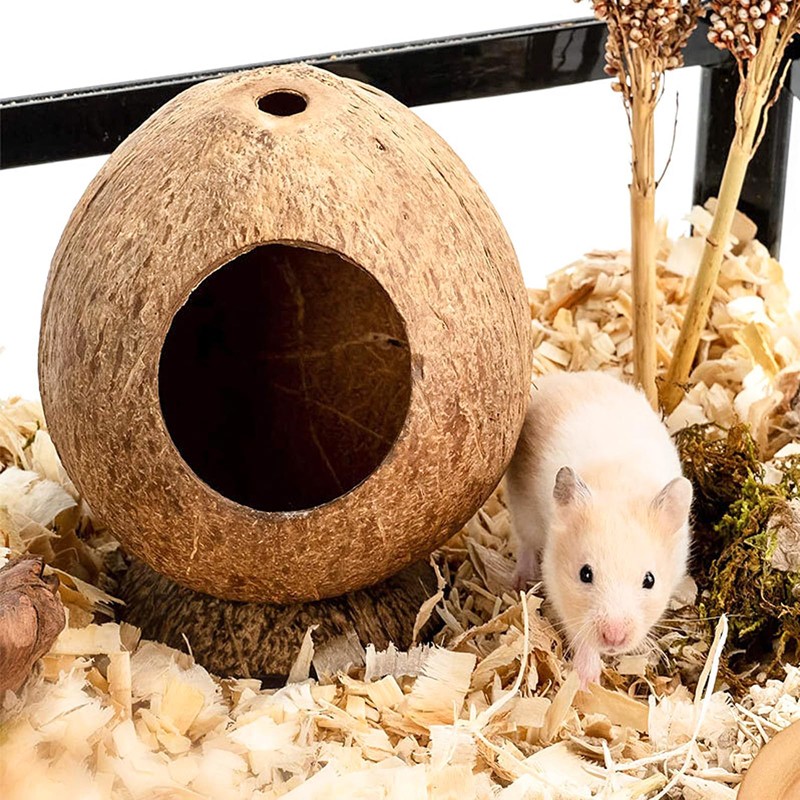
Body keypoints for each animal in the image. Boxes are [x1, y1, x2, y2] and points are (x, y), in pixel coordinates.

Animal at [504, 371, 693, 688]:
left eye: (650, 580)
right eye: (585, 574)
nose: (614, 639)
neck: (619, 483)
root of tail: (556, 379)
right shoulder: (557, 583)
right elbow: (581, 636)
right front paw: (585, 681)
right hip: (523, 511)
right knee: (526, 543)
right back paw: (520, 581)